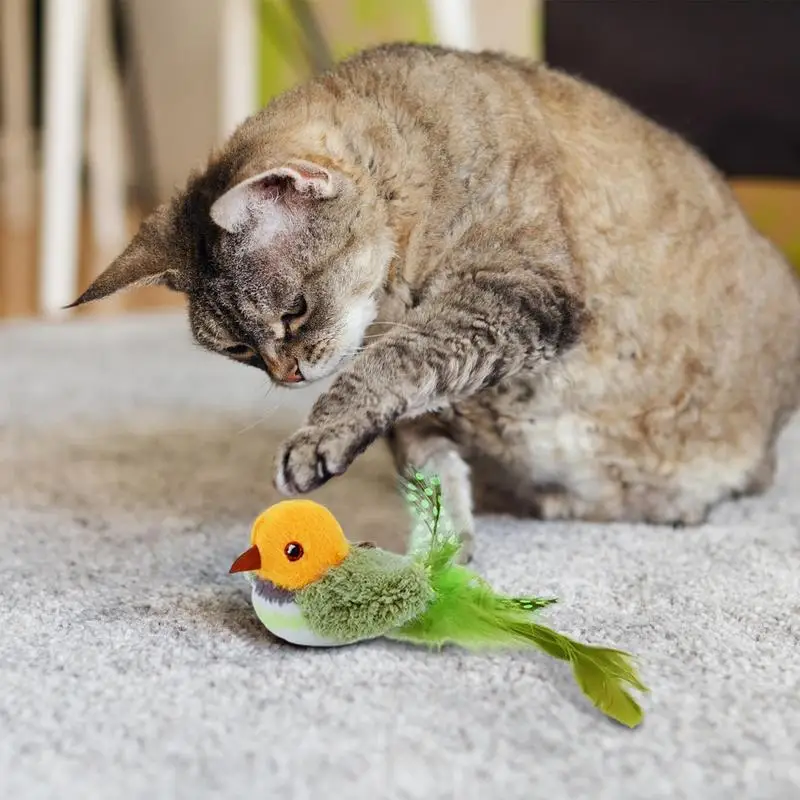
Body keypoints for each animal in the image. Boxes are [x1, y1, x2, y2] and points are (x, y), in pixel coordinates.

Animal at [70, 43, 800, 564]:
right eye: (240, 349)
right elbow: (429, 473)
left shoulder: (512, 294)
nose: (287, 375)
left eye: (293, 311)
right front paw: (440, 557)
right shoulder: (427, 409)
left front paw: (315, 439)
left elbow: (389, 365)